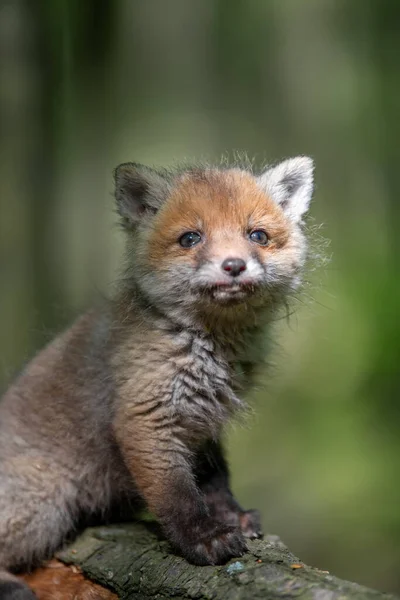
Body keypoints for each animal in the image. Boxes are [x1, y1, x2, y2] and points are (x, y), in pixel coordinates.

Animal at [0, 157, 316, 596]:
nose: (234, 265)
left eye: (257, 235)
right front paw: (204, 537)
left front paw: (232, 517)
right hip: (46, 503)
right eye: (190, 238)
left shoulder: (201, 424)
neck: (209, 350)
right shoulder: (146, 418)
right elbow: (177, 494)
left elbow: (214, 480)